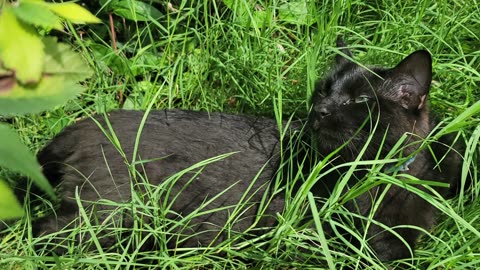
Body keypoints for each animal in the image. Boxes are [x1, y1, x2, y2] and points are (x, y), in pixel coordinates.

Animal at [22, 39, 462, 262]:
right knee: (44, 232)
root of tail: (81, 125)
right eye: (323, 90)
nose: (318, 110)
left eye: (358, 100)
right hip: (109, 215)